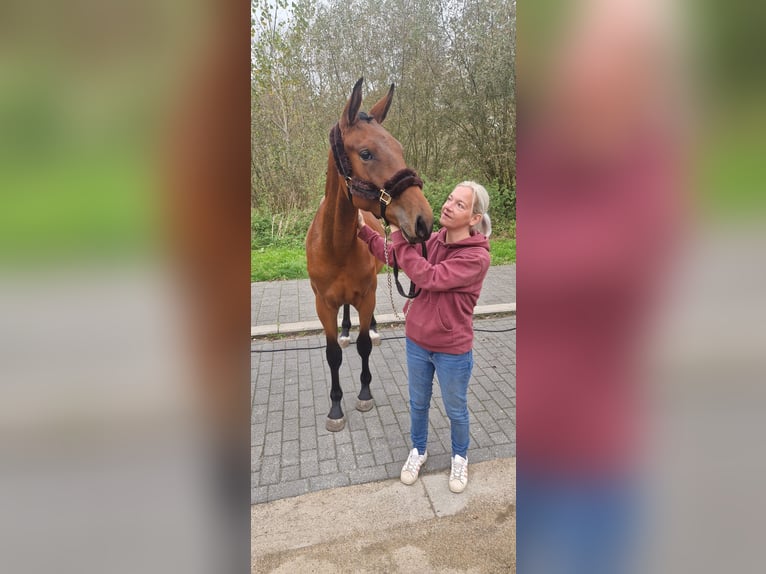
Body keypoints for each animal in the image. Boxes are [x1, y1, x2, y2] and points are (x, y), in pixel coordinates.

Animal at [308, 80, 436, 432]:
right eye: (366, 153)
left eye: (400, 148)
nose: (423, 220)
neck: (337, 245)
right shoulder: (323, 305)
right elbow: (332, 354)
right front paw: (335, 408)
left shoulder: (366, 296)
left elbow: (365, 344)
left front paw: (364, 394)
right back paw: (346, 331)